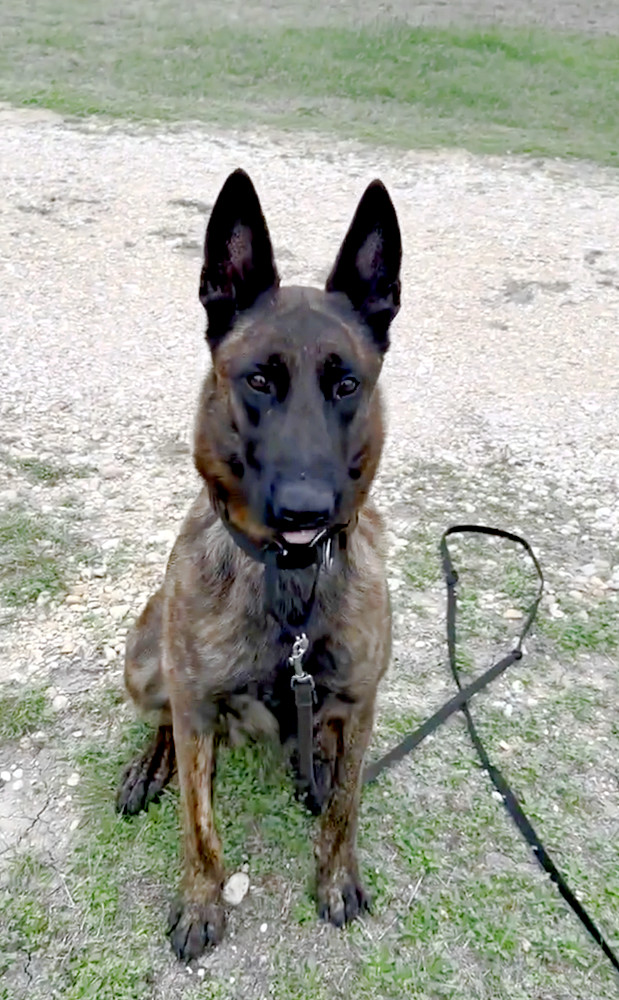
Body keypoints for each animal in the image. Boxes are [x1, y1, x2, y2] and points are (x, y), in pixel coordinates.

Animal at [117, 172, 402, 960]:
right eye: (259, 381)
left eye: (346, 384)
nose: (305, 509)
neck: (291, 582)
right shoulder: (194, 699)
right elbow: (199, 827)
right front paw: (200, 903)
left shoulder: (361, 699)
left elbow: (344, 809)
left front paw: (335, 878)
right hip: (146, 661)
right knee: (166, 725)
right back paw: (148, 765)